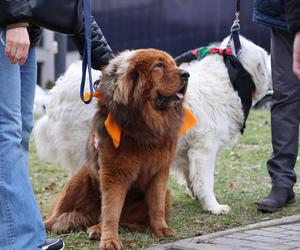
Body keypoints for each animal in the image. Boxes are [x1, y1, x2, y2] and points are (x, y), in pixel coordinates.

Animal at [34, 36, 270, 215]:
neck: (230, 79)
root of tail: (58, 90)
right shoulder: (205, 148)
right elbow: (206, 180)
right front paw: (214, 206)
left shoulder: (189, 149)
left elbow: (192, 176)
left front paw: (196, 194)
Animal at [44, 47, 190, 249]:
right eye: (159, 66)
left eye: (174, 64)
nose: (186, 74)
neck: (144, 124)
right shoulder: (114, 174)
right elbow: (111, 211)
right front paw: (110, 240)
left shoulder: (160, 172)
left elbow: (156, 205)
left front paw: (160, 228)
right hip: (78, 180)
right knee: (59, 215)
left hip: (163, 196)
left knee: (121, 218)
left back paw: (99, 228)